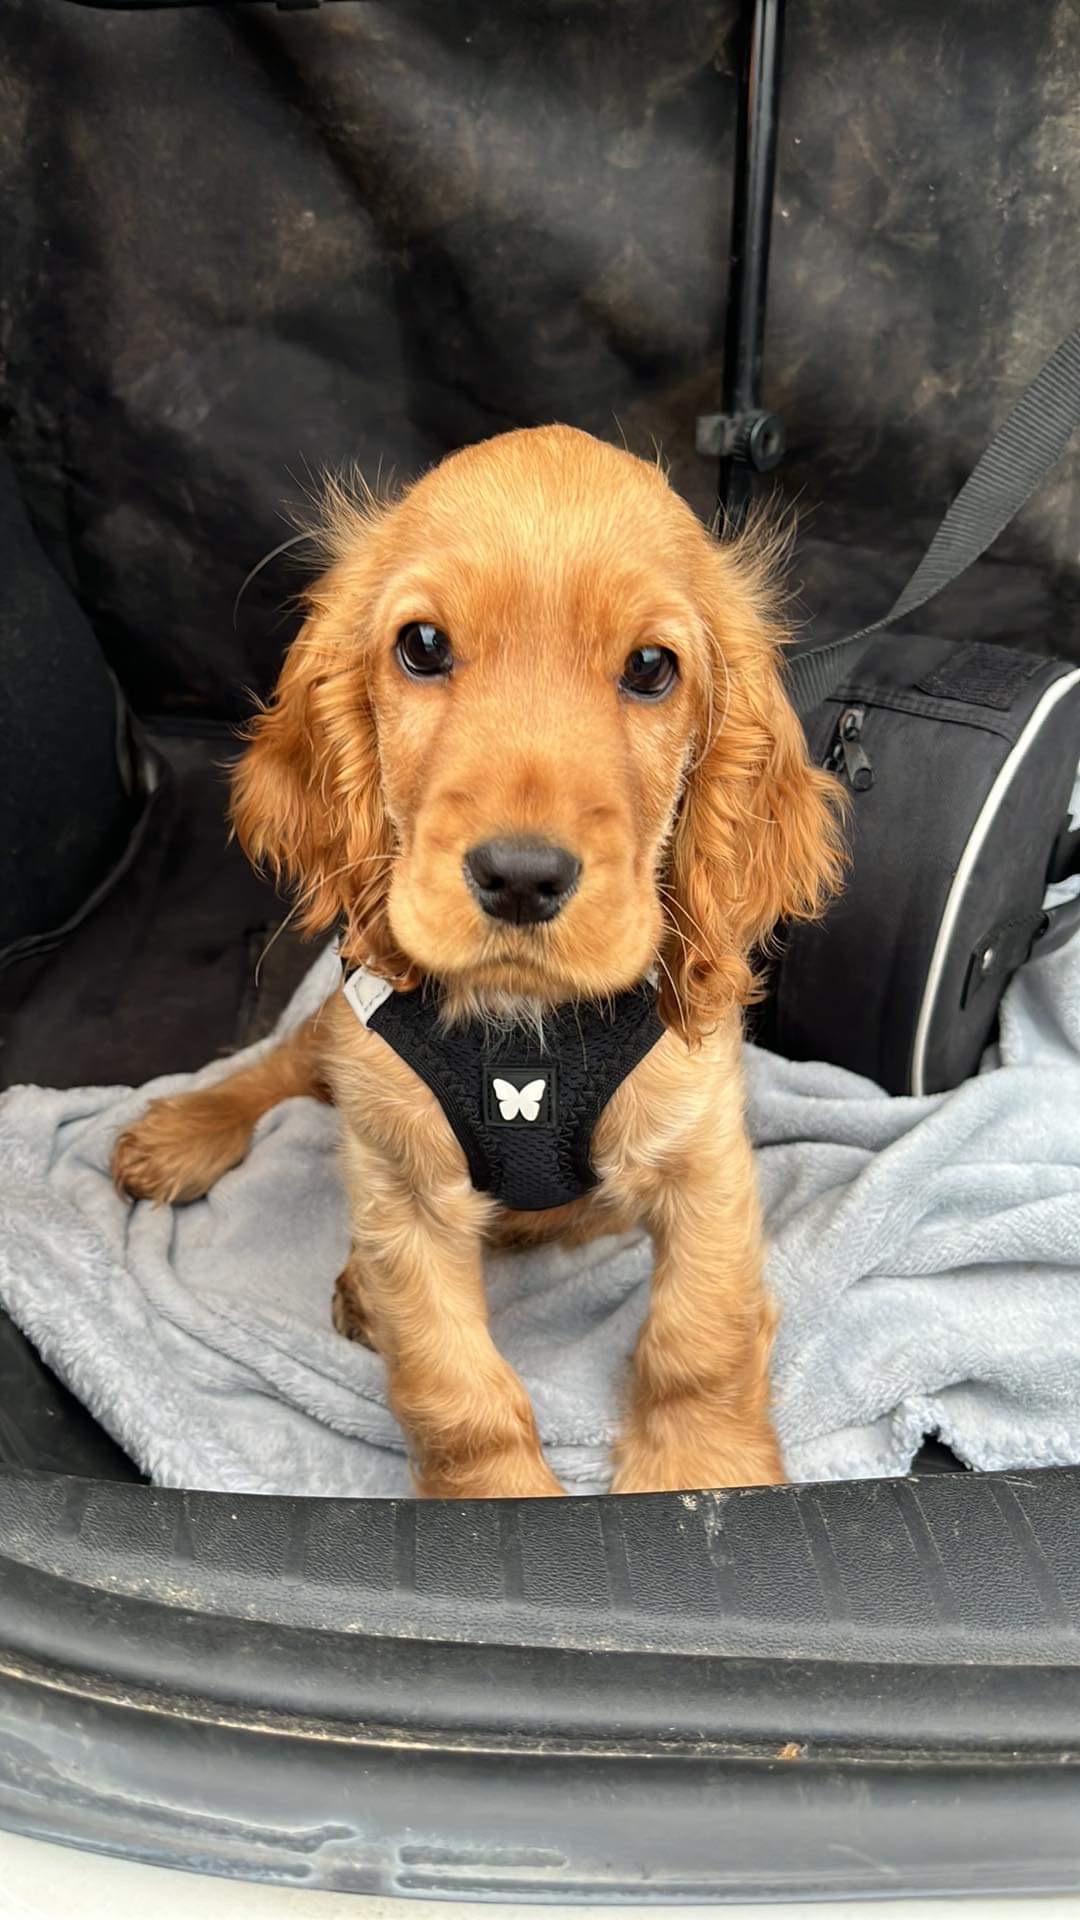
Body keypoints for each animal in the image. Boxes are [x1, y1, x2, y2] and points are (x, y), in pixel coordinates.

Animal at [113, 426, 843, 1498]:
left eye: (651, 667)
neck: (521, 1031)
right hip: (346, 1042)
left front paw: (701, 1472)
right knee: (279, 1067)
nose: (523, 878)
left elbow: (698, 1332)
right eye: (423, 647)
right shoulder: (405, 1185)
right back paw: (183, 1135)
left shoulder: (700, 1153)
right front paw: (499, 1498)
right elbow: (452, 1383)